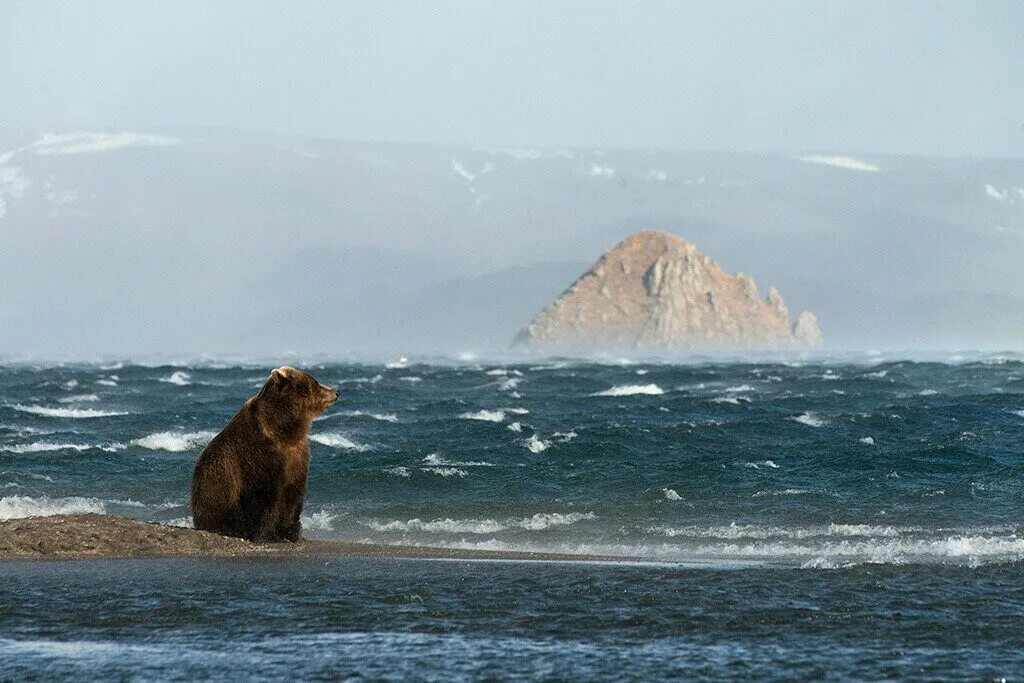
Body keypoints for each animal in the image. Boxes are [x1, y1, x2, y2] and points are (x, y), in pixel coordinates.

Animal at [190, 366, 337, 540]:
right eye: (315, 383)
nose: (336, 392)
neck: (284, 431)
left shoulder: (297, 456)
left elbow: (293, 494)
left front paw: (291, 532)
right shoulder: (259, 455)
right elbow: (263, 496)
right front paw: (267, 534)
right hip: (216, 498)